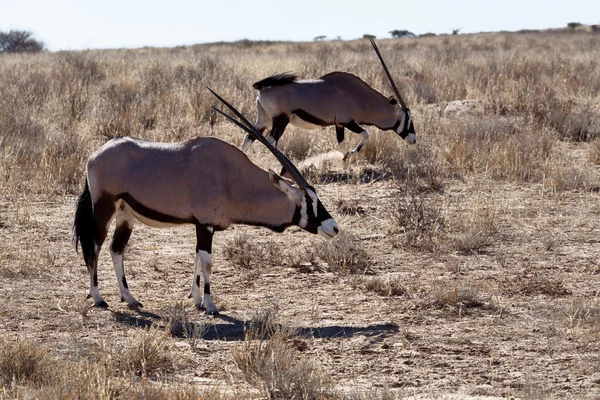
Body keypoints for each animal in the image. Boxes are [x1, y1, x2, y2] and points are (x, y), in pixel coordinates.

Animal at [71, 89, 338, 314]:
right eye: (308, 200)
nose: (334, 227)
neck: (231, 176)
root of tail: (95, 155)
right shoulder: (205, 224)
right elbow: (207, 261)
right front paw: (210, 304)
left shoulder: (202, 225)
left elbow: (197, 258)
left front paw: (196, 298)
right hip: (104, 207)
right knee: (94, 245)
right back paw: (98, 297)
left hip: (126, 214)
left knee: (116, 248)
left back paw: (130, 298)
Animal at [241, 38, 414, 158]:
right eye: (408, 119)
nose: (414, 139)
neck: (359, 97)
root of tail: (262, 89)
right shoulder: (348, 121)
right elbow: (365, 134)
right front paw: (352, 153)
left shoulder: (339, 124)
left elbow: (342, 145)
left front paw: (346, 165)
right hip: (281, 120)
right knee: (271, 142)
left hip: (264, 120)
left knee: (249, 137)